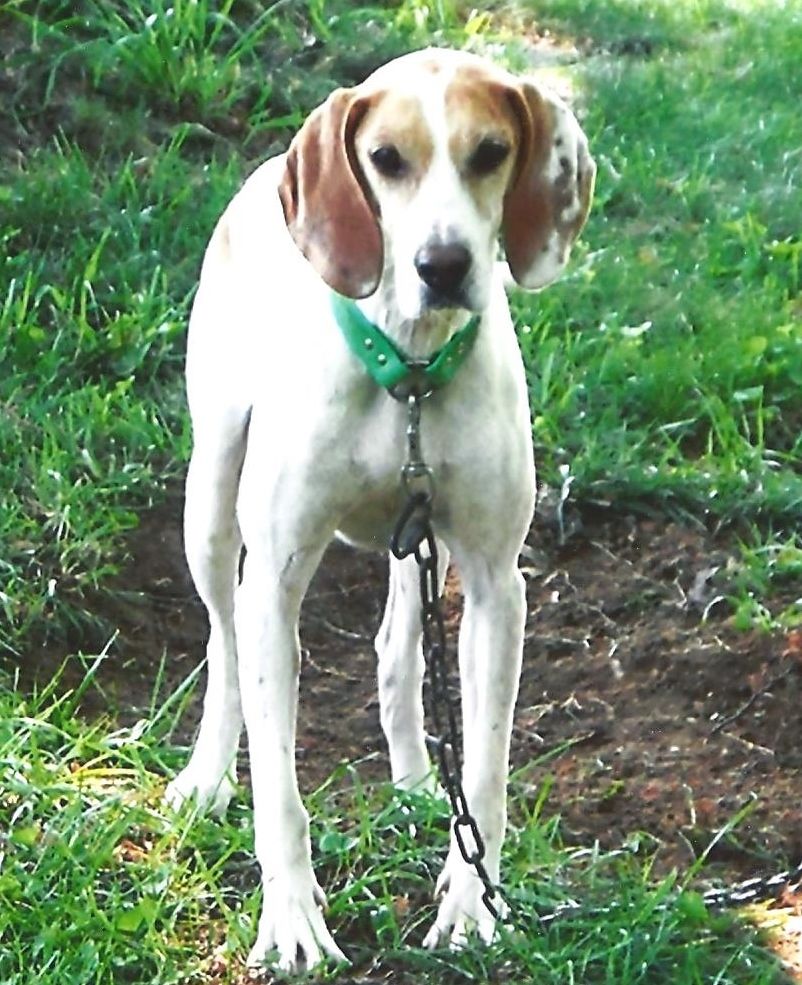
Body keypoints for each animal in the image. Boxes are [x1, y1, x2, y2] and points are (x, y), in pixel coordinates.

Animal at [165, 47, 594, 972]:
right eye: (387, 159)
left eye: (491, 151)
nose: (443, 264)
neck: (411, 369)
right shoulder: (273, 579)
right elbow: (278, 788)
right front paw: (292, 921)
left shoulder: (497, 586)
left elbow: (487, 772)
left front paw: (473, 908)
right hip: (210, 503)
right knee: (221, 649)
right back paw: (206, 778)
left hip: (423, 544)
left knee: (398, 651)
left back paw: (413, 785)